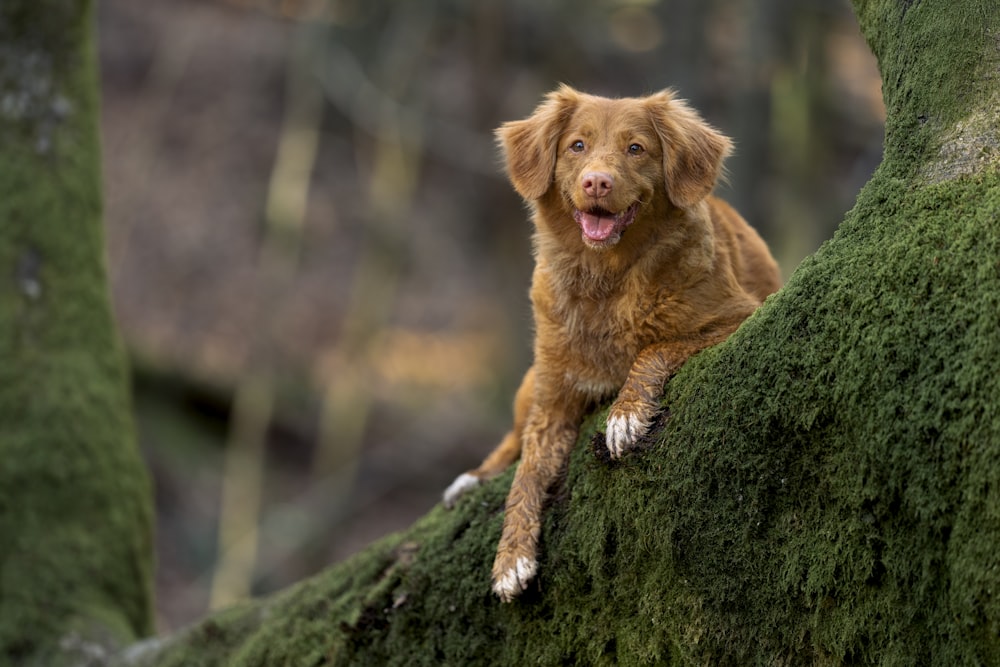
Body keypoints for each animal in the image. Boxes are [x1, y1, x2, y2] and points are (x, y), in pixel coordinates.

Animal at [444, 86, 780, 604]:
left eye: (636, 148)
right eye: (577, 146)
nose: (597, 183)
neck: (605, 277)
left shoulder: (736, 315)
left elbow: (655, 348)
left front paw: (626, 414)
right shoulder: (554, 397)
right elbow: (526, 474)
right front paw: (511, 557)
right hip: (530, 381)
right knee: (510, 441)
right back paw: (471, 478)